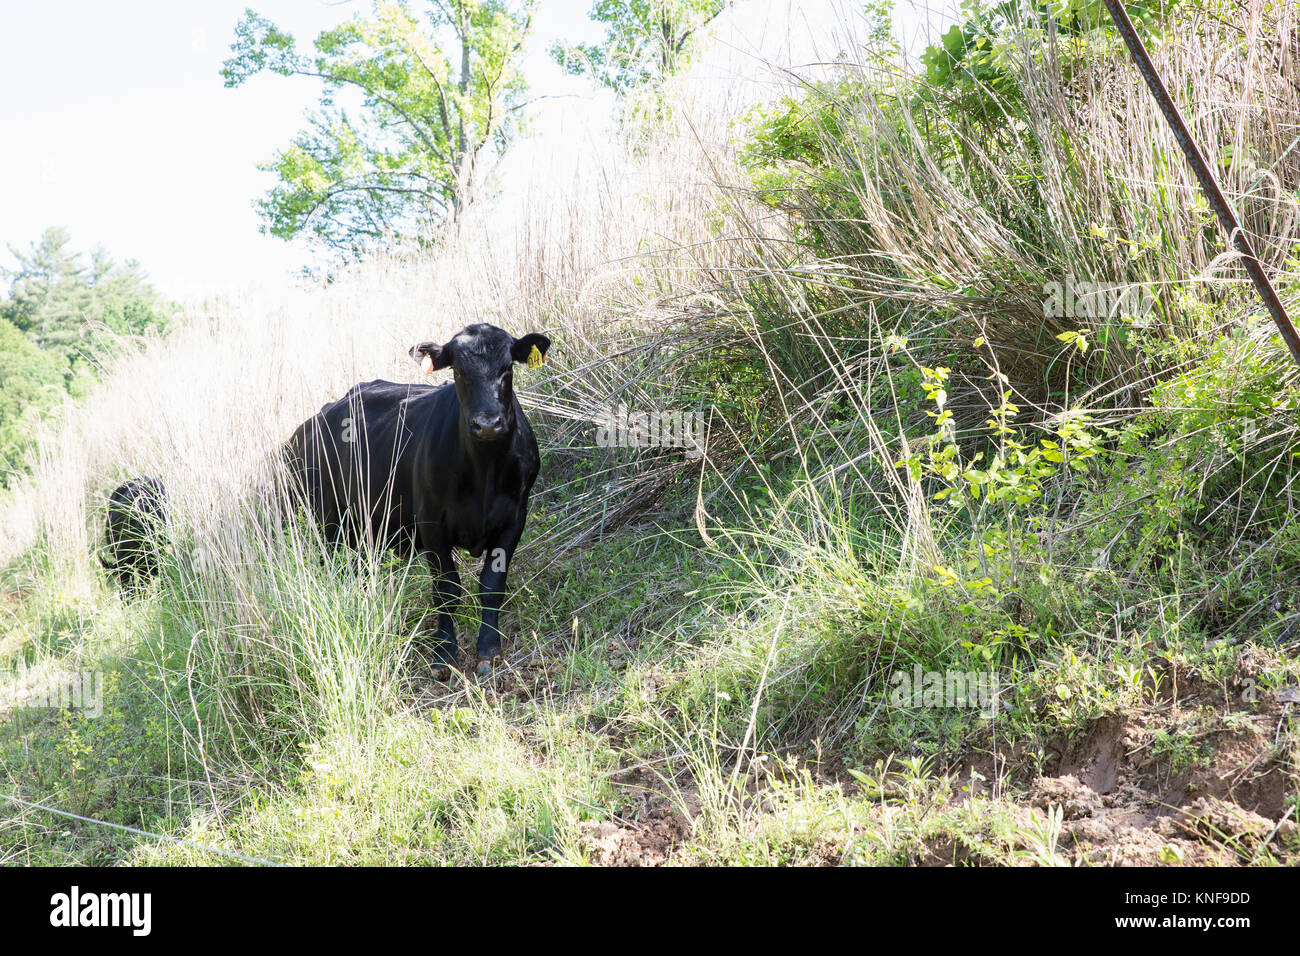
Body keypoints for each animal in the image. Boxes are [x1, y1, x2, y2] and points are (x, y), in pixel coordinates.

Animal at [283, 323, 551, 679]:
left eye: (507, 369)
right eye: (458, 371)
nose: (488, 423)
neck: (485, 471)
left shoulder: (514, 517)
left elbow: (492, 584)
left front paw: (488, 650)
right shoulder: (431, 522)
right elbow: (446, 589)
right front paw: (444, 653)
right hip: (324, 519)